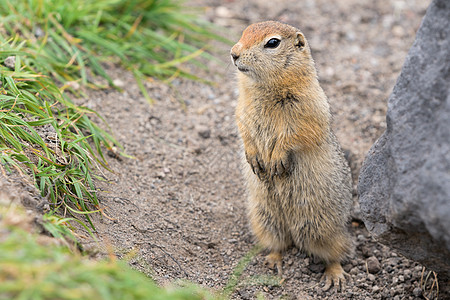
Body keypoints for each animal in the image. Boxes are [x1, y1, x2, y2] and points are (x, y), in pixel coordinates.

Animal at [232, 21, 356, 290]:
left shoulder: (307, 106)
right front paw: (254, 158)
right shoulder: (241, 107)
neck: (264, 88)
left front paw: (277, 159)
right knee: (278, 243)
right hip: (264, 218)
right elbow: (244, 128)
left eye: (272, 42)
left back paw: (334, 276)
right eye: (244, 31)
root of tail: (294, 231)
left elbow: (297, 133)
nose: (233, 53)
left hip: (324, 227)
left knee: (338, 251)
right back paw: (273, 262)